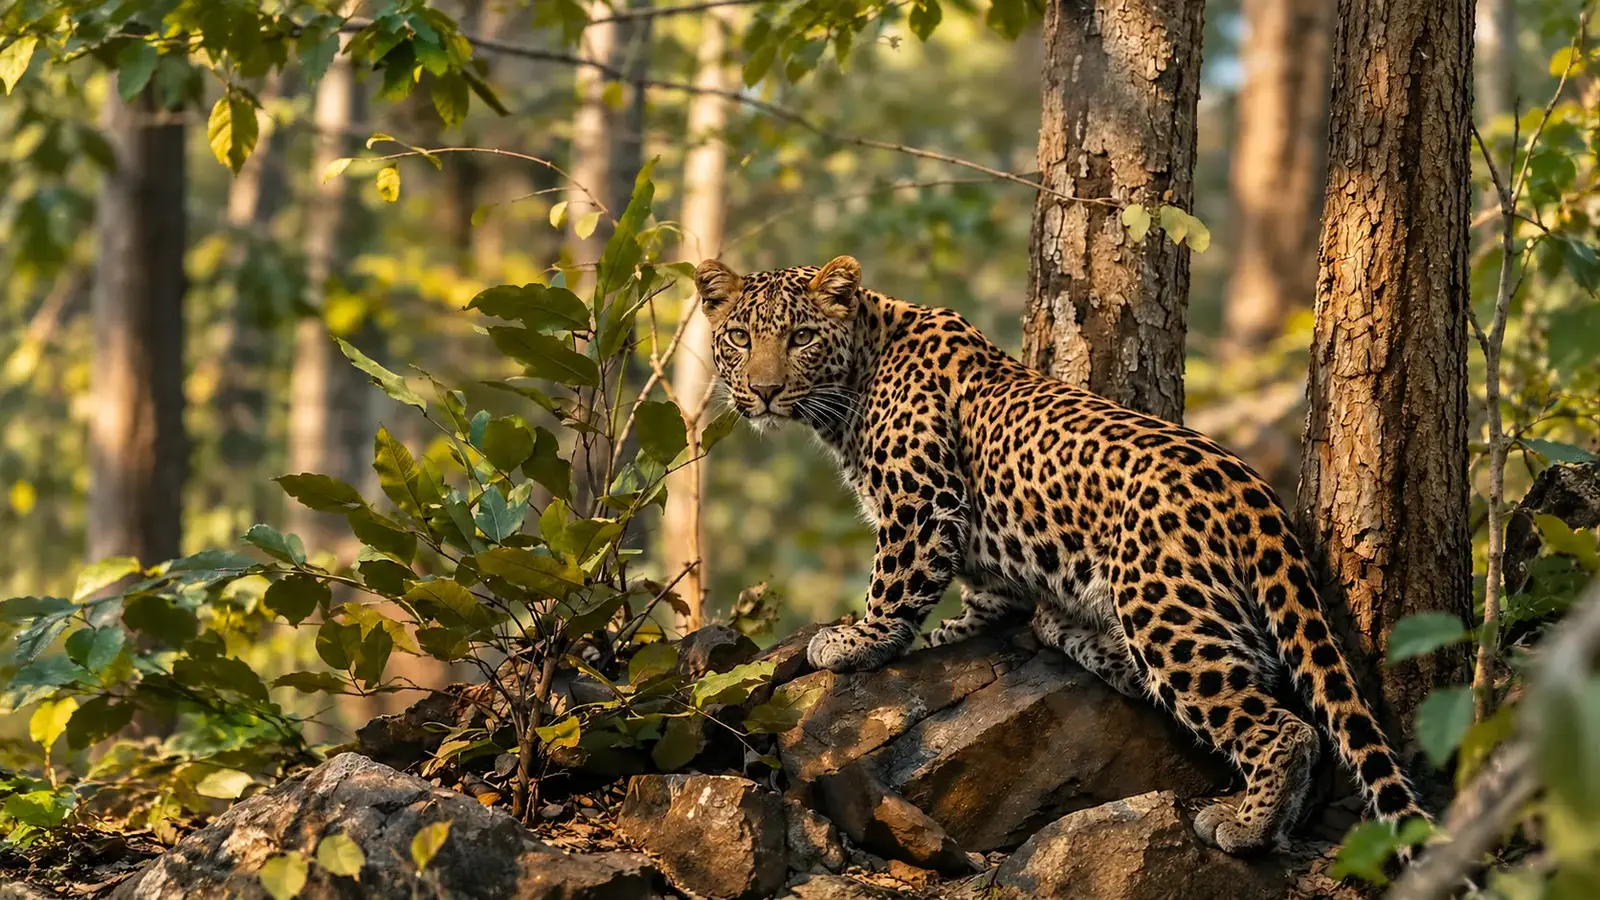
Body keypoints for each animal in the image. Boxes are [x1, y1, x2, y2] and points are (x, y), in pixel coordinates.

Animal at [694, 254, 1429, 855]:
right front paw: (954, 632)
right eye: (740, 339)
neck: (858, 376)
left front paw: (856, 640)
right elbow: (986, 590)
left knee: (1279, 723)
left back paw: (1246, 828)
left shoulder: (923, 504)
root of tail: (1254, 496)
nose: (762, 390)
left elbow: (897, 581)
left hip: (1164, 606)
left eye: (801, 338)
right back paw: (1074, 635)